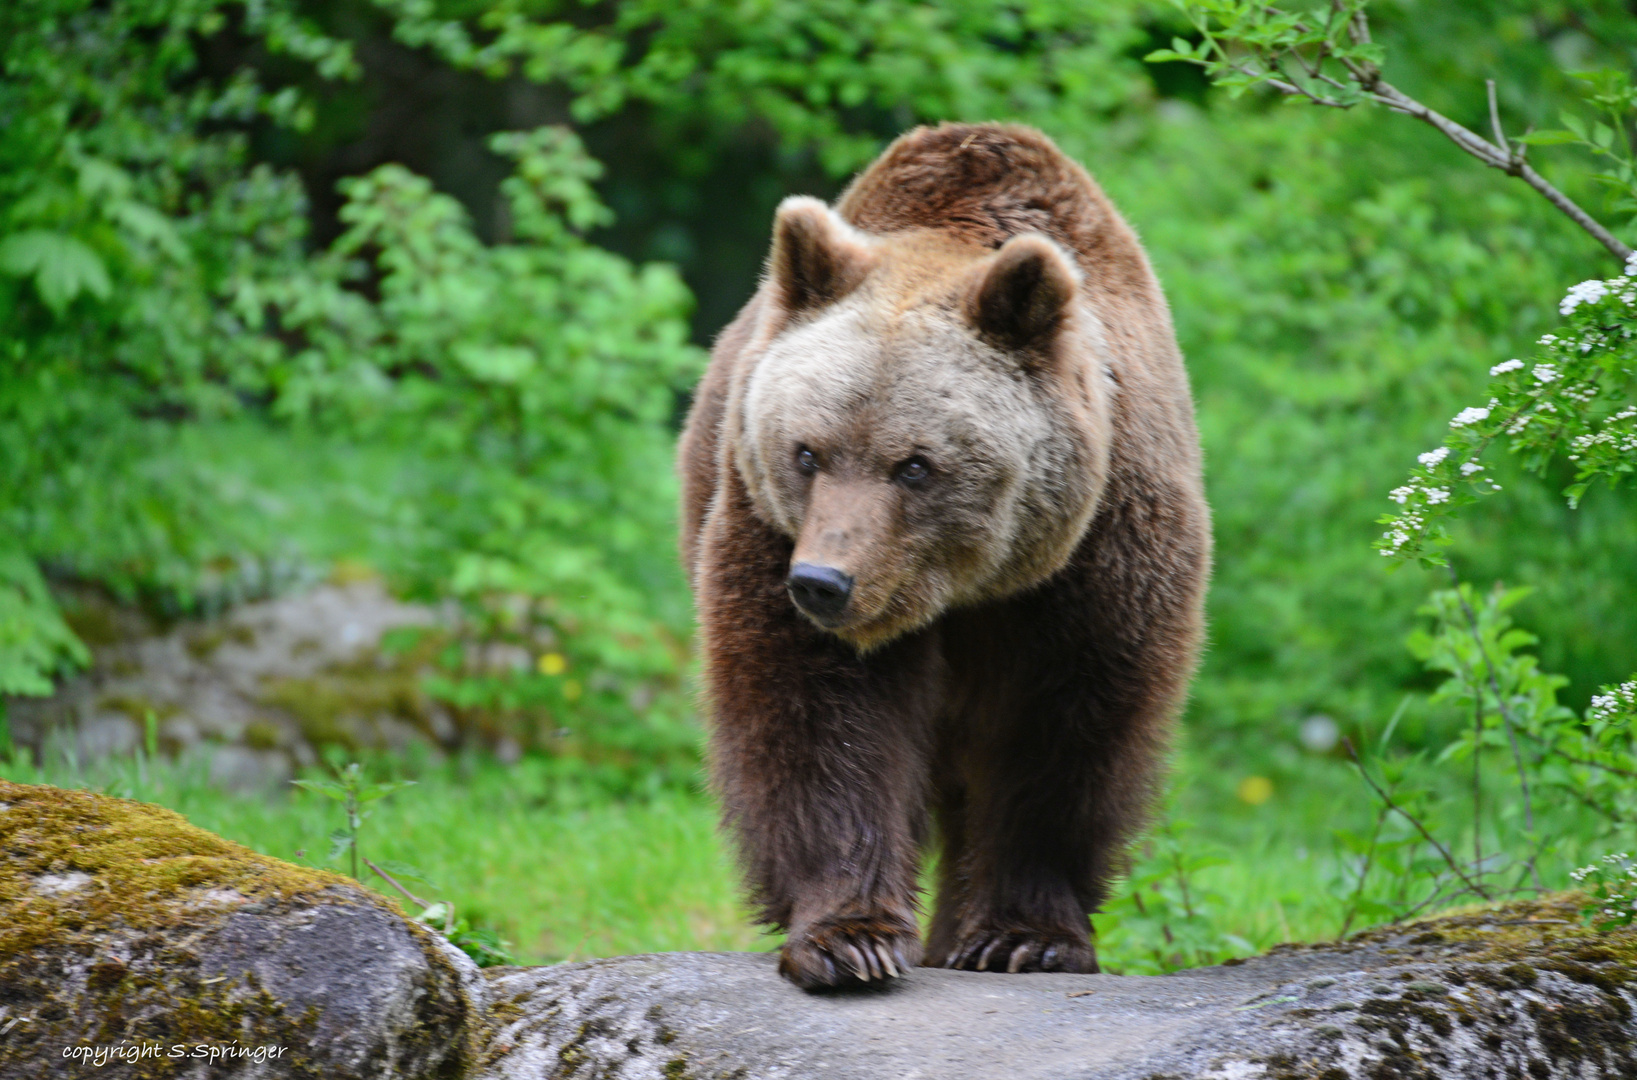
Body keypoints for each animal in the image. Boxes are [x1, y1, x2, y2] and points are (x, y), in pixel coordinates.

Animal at [674, 120, 1204, 988]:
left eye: (915, 465)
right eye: (807, 452)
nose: (822, 583)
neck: (967, 588)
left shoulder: (1095, 556)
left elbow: (1062, 730)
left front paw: (1022, 936)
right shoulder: (766, 526)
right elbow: (817, 715)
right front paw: (848, 937)